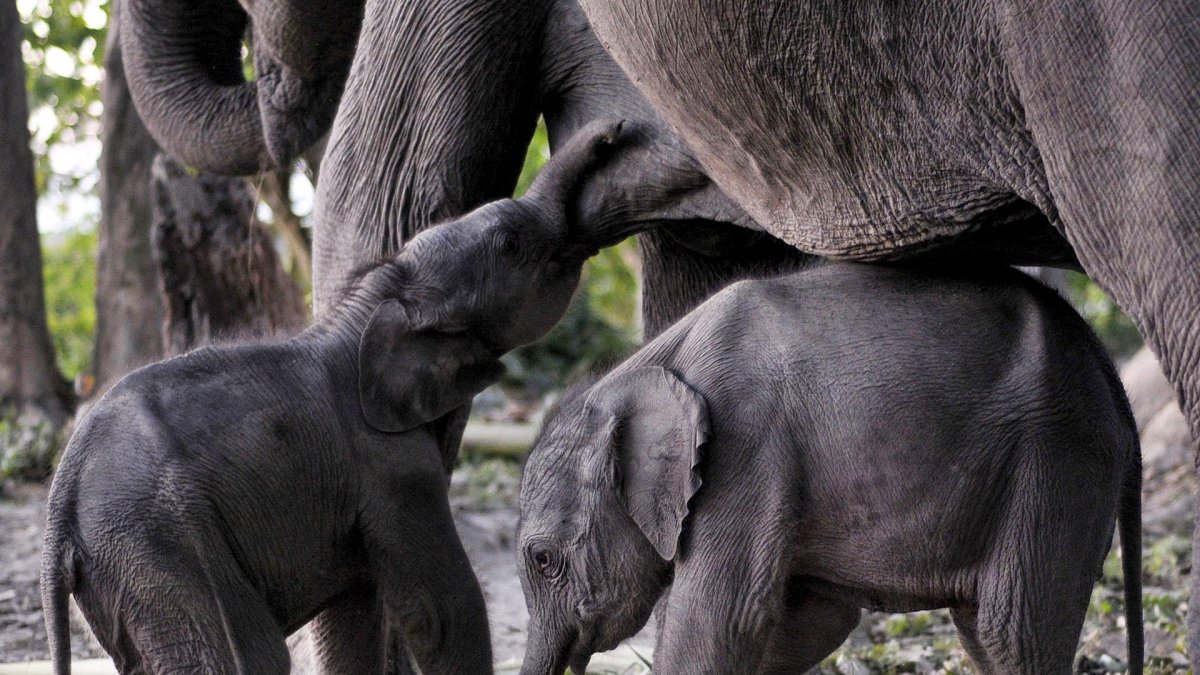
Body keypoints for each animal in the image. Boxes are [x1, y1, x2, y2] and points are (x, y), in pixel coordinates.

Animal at [39, 122, 624, 674]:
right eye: (510, 244)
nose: (614, 132)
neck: (377, 299)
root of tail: (58, 513)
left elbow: (356, 614)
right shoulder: (389, 463)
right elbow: (441, 611)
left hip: (125, 570)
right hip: (164, 546)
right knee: (247, 655)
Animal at [518, 263, 1143, 675]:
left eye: (544, 560)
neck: (646, 368)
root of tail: (1106, 367)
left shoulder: (746, 449)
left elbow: (722, 619)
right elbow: (811, 620)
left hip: (1057, 460)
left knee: (1013, 631)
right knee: (986, 634)